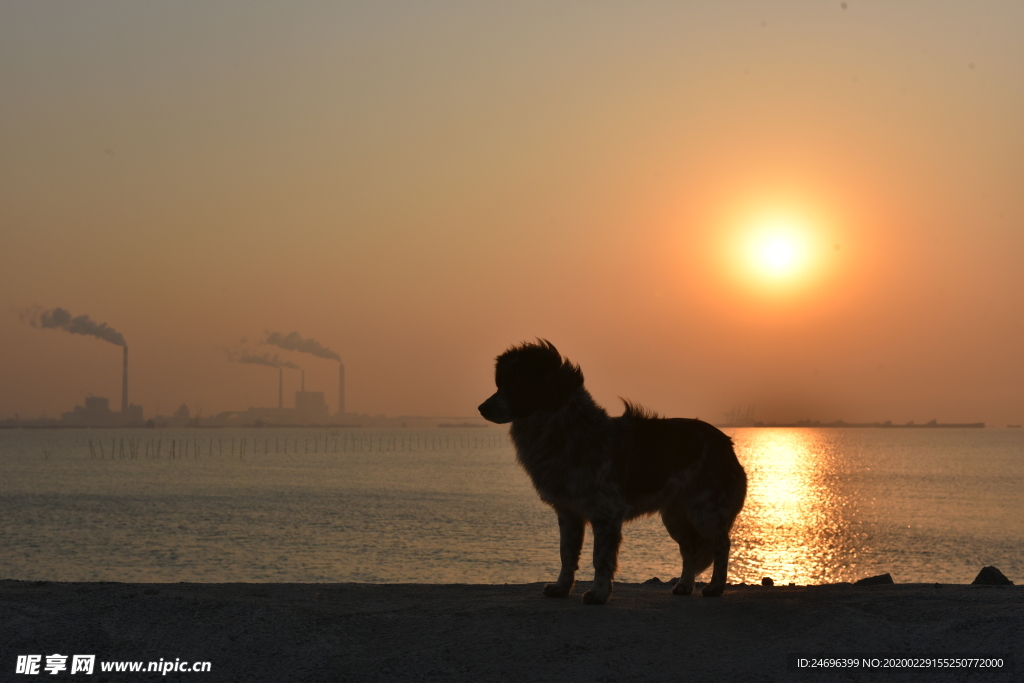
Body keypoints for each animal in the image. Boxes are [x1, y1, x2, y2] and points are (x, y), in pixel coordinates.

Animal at [475, 342, 749, 602]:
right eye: (500, 383)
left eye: (516, 384)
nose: (481, 408)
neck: (564, 433)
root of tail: (726, 442)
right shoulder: (568, 512)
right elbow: (566, 554)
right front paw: (561, 588)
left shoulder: (606, 514)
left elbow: (601, 559)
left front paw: (598, 594)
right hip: (675, 517)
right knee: (690, 549)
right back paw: (684, 585)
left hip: (705, 511)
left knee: (721, 545)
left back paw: (716, 587)